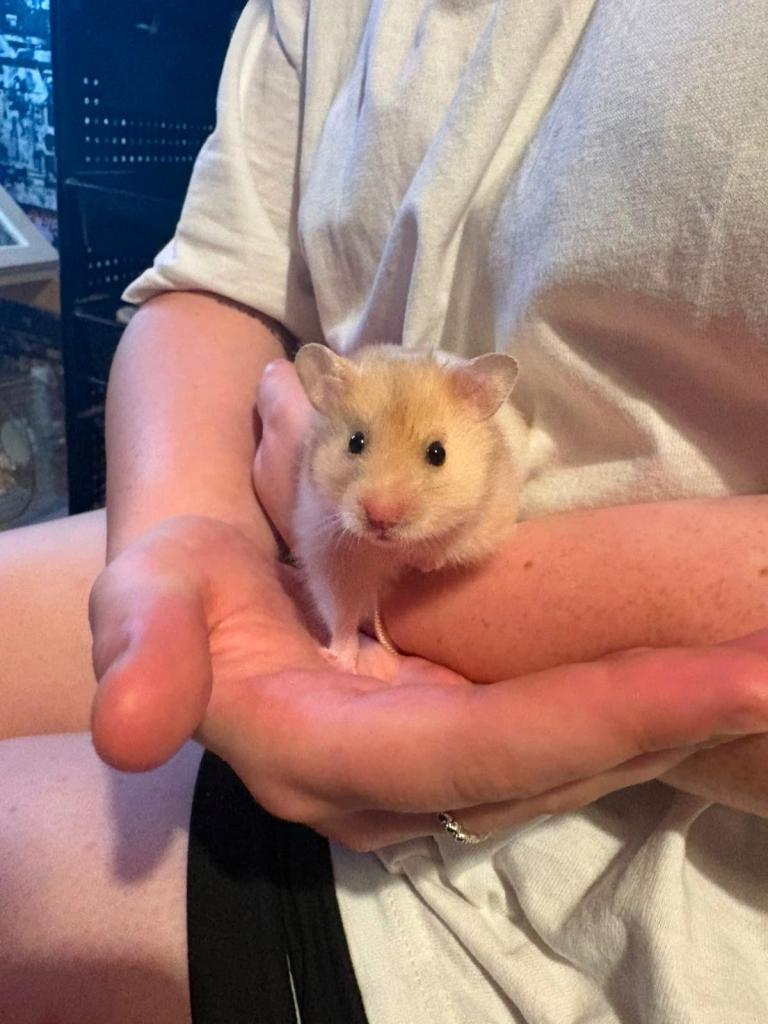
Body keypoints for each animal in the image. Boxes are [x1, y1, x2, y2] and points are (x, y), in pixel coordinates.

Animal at [293, 342, 529, 670]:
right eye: (355, 441)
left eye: (438, 453)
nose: (381, 518)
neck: (384, 548)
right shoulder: (329, 554)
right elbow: (342, 615)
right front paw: (338, 660)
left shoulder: (489, 517)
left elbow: (449, 540)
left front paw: (421, 561)